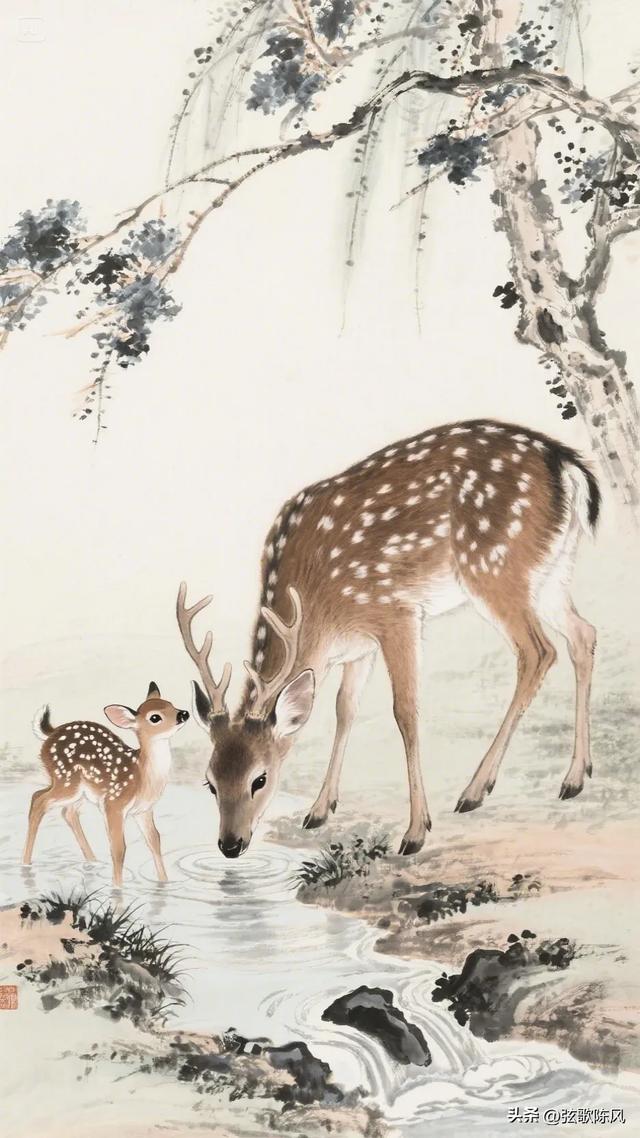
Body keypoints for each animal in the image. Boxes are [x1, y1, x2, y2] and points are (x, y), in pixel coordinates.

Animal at [23, 683, 189, 885]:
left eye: (171, 704)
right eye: (155, 717)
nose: (183, 713)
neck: (142, 777)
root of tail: (51, 732)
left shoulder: (143, 810)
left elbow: (154, 840)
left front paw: (164, 882)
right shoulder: (114, 803)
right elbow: (119, 848)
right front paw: (117, 887)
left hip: (80, 791)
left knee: (66, 811)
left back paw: (92, 861)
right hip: (67, 781)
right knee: (39, 799)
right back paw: (25, 864)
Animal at [177, 418, 600, 860]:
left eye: (259, 779)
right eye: (210, 782)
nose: (230, 844)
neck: (315, 610)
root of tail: (568, 466)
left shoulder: (396, 611)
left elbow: (405, 712)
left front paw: (415, 831)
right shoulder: (358, 647)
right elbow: (344, 709)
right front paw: (319, 810)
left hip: (495, 566)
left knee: (538, 651)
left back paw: (475, 790)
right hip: (550, 572)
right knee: (583, 634)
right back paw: (575, 777)